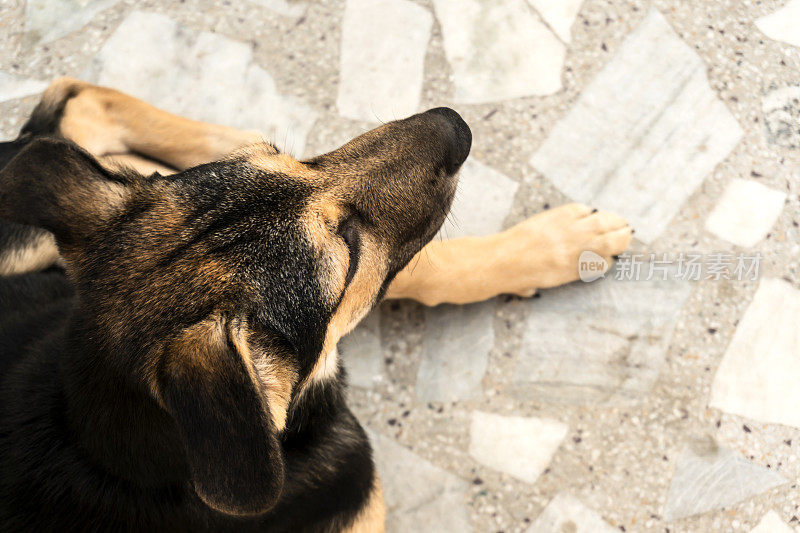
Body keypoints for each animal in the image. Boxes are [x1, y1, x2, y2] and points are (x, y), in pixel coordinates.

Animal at [0, 77, 632, 528]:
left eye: (290, 160)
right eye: (347, 251)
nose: (455, 123)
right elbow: (423, 269)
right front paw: (561, 245)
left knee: (76, 99)